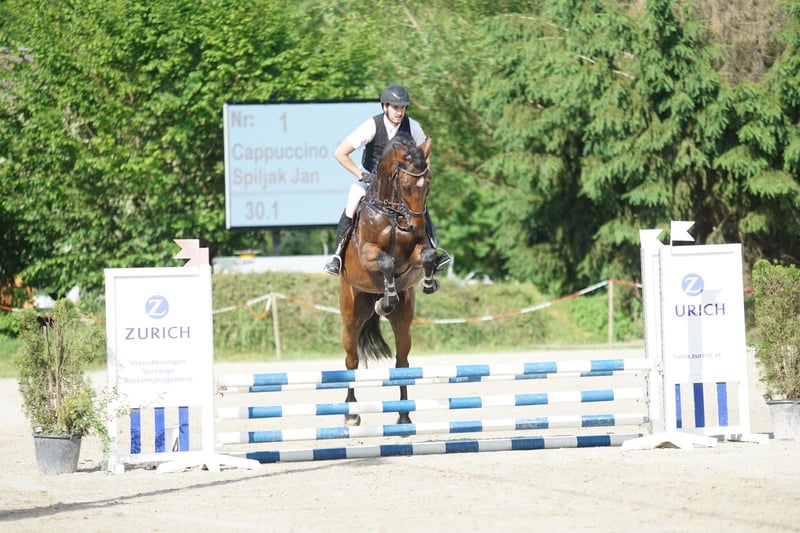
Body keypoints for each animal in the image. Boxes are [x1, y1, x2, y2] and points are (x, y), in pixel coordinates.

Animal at [338, 135, 440, 426]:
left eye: (428, 185)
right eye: (405, 186)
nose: (417, 227)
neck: (393, 212)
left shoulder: (415, 254)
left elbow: (427, 255)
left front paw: (428, 283)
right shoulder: (367, 253)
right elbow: (386, 262)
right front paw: (387, 297)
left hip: (403, 324)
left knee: (402, 364)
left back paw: (404, 415)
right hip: (351, 317)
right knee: (351, 361)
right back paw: (351, 414)